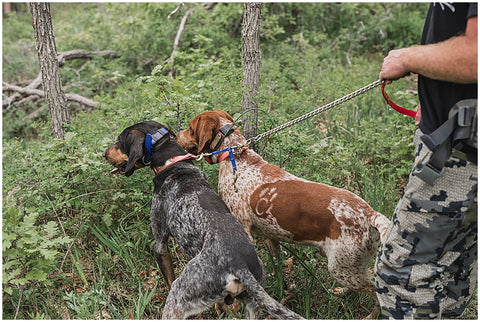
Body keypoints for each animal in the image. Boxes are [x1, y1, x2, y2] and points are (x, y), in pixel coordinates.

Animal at [178, 109, 392, 318]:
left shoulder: (244, 229)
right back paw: (343, 292)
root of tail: (370, 213)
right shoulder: (270, 236)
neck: (235, 156)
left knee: (375, 292)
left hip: (342, 267)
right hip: (348, 267)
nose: (177, 135)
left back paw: (371, 315)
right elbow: (277, 264)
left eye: (190, 128)